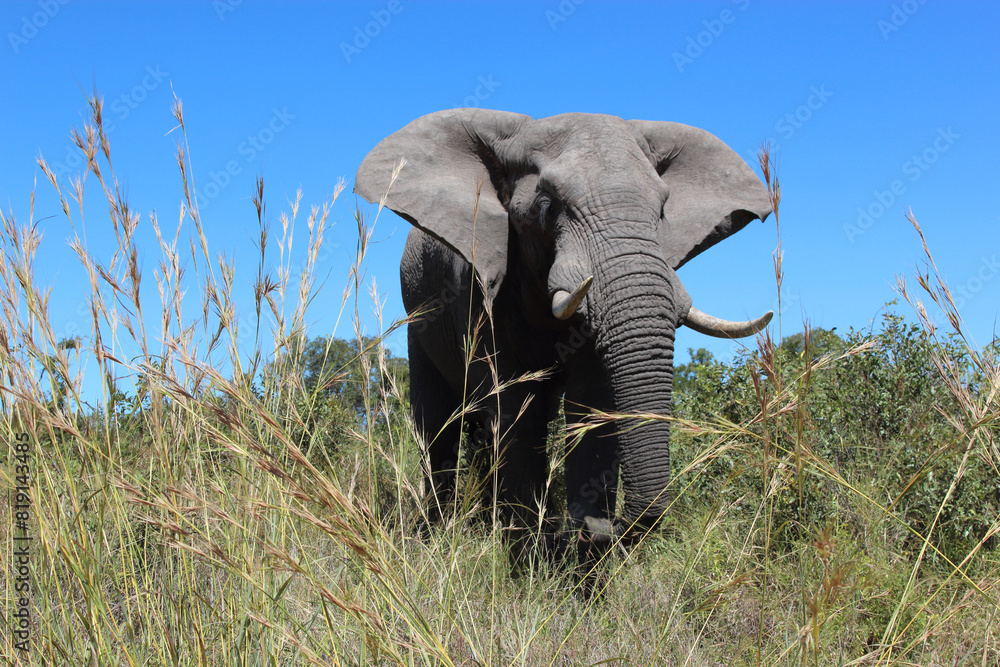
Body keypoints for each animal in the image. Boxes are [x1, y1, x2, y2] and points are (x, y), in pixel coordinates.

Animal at [355, 109, 772, 581]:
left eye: (663, 209)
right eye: (546, 206)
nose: (607, 528)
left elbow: (592, 408)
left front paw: (583, 571)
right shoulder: (478, 289)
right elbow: (517, 413)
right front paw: (534, 565)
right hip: (419, 315)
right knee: (438, 426)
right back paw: (435, 535)